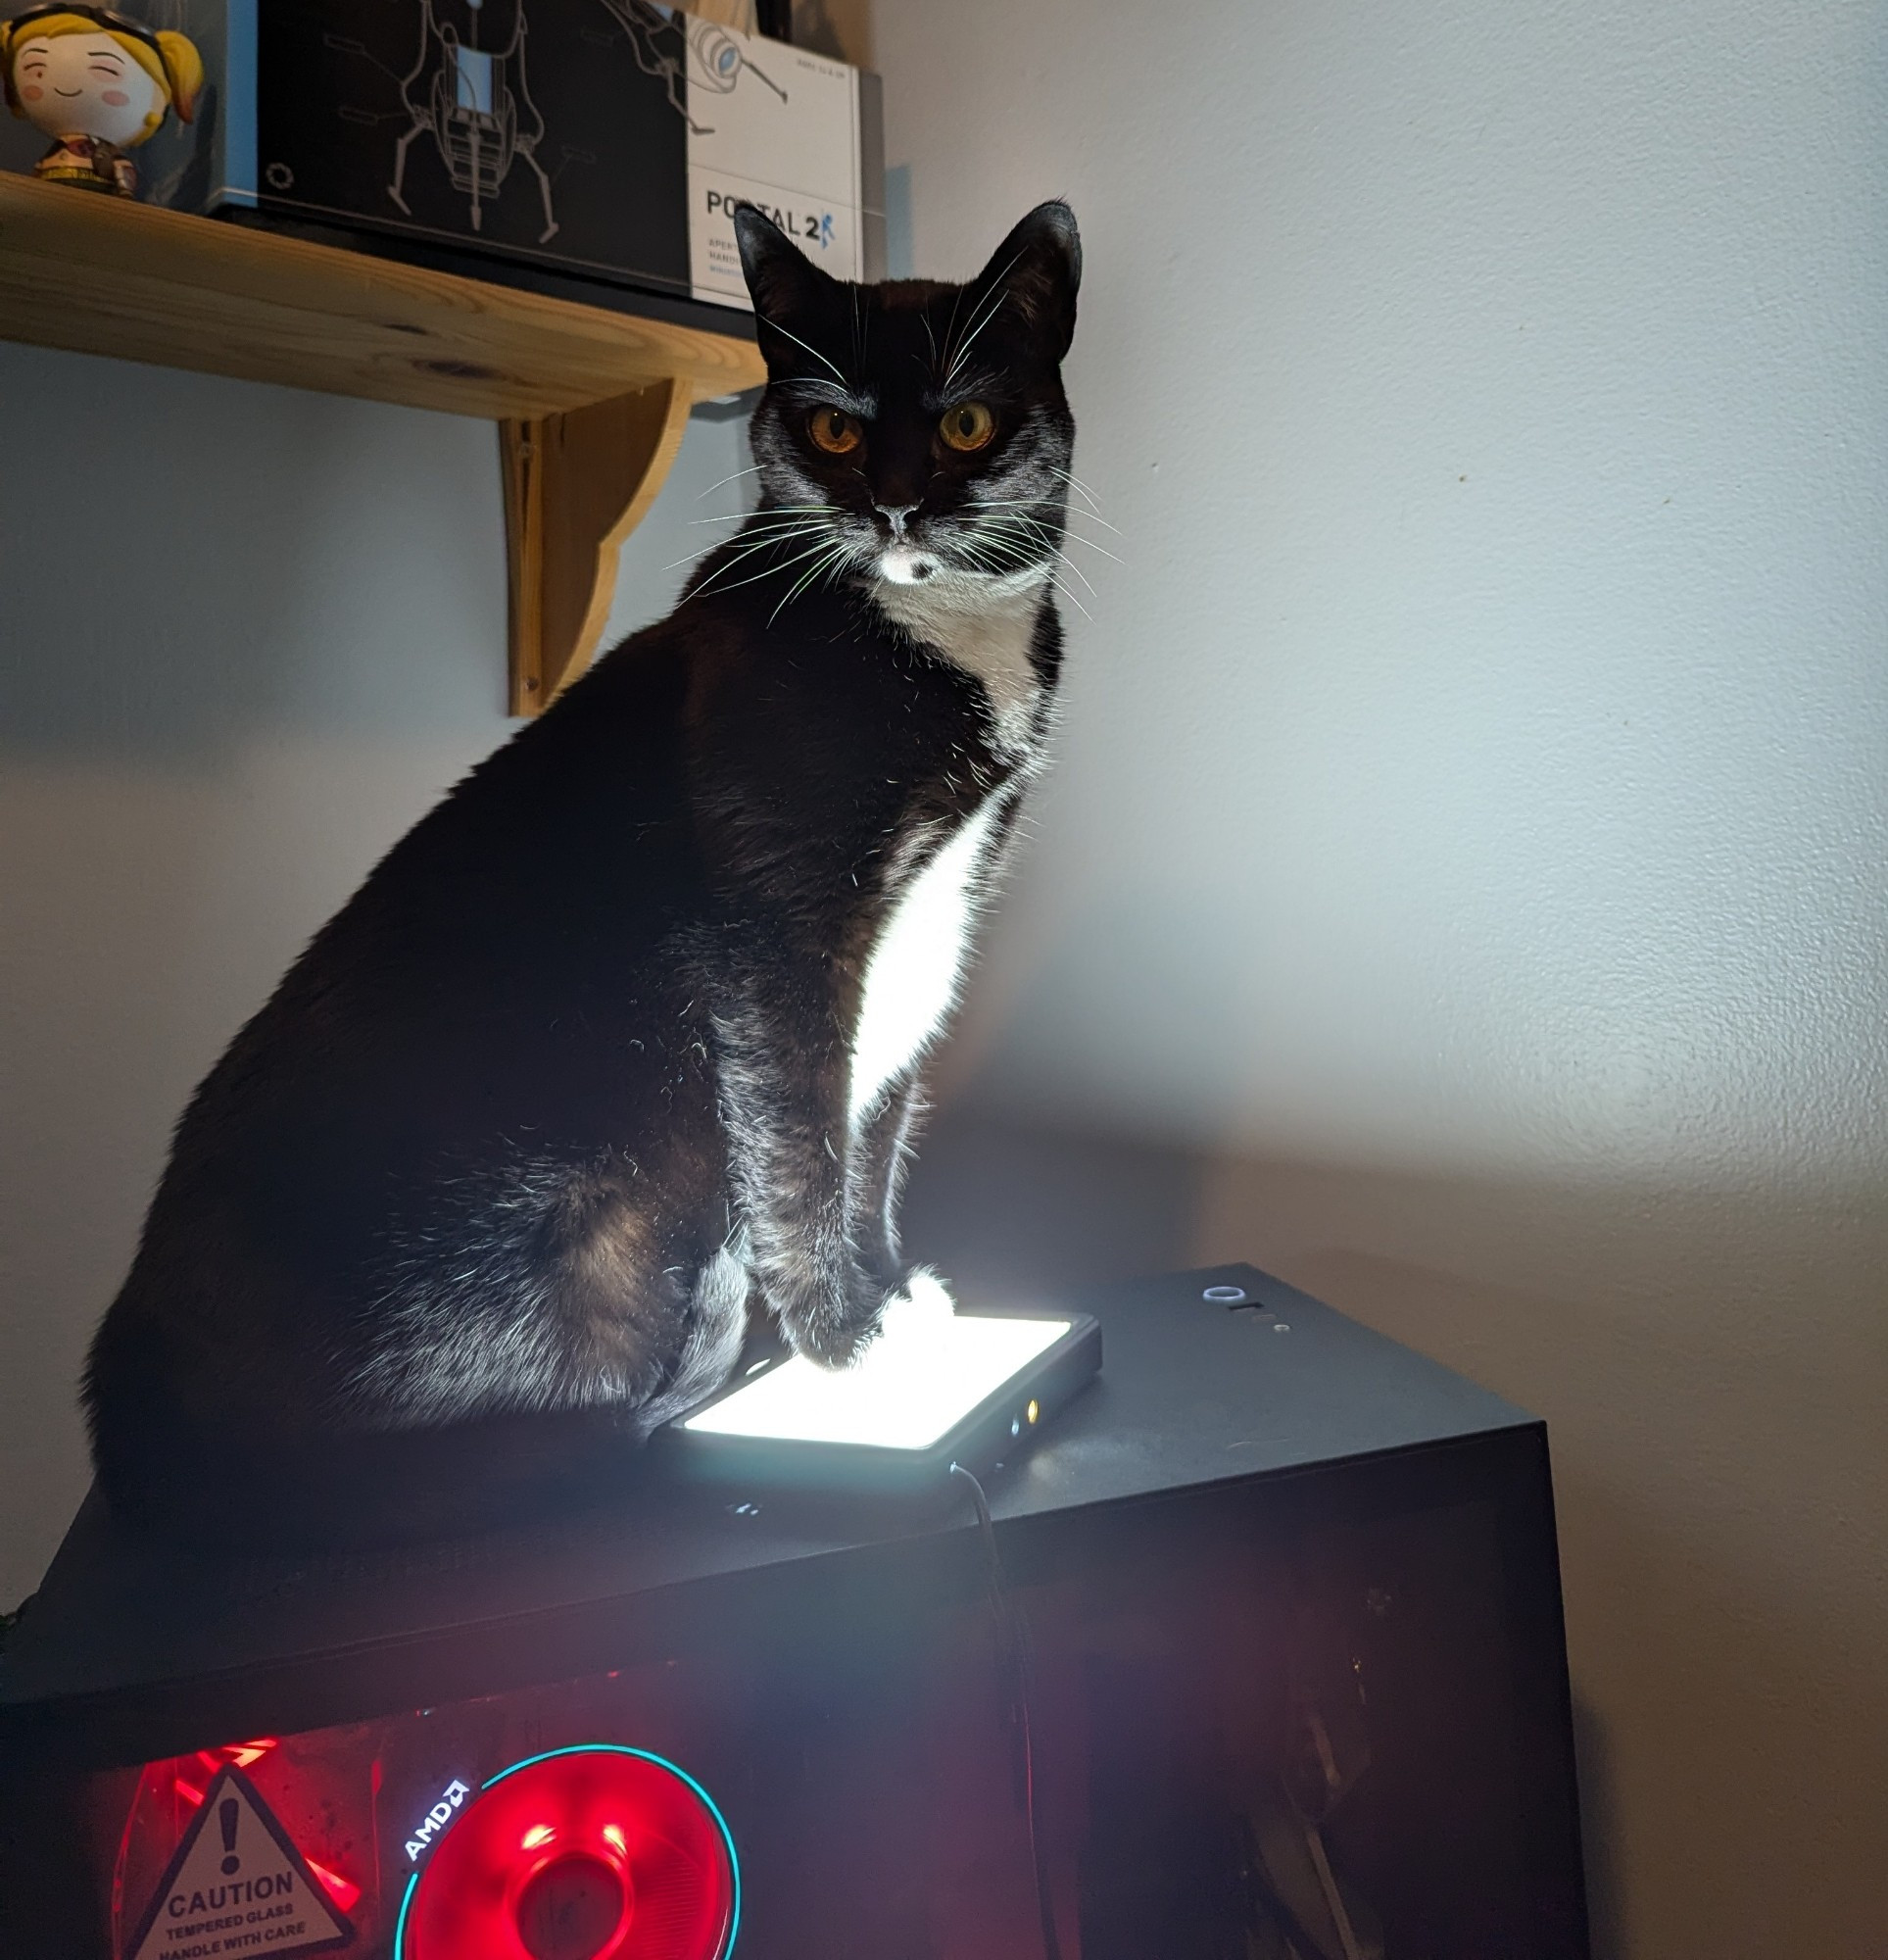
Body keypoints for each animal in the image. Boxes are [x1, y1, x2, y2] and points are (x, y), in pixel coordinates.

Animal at [88, 199, 1081, 1544]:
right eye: (832, 426)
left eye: (967, 423)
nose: (893, 506)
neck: (936, 635)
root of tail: (128, 1414)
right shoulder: (777, 936)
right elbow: (800, 1143)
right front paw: (844, 1342)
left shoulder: (935, 919)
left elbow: (874, 1127)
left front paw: (885, 1290)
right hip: (600, 1221)